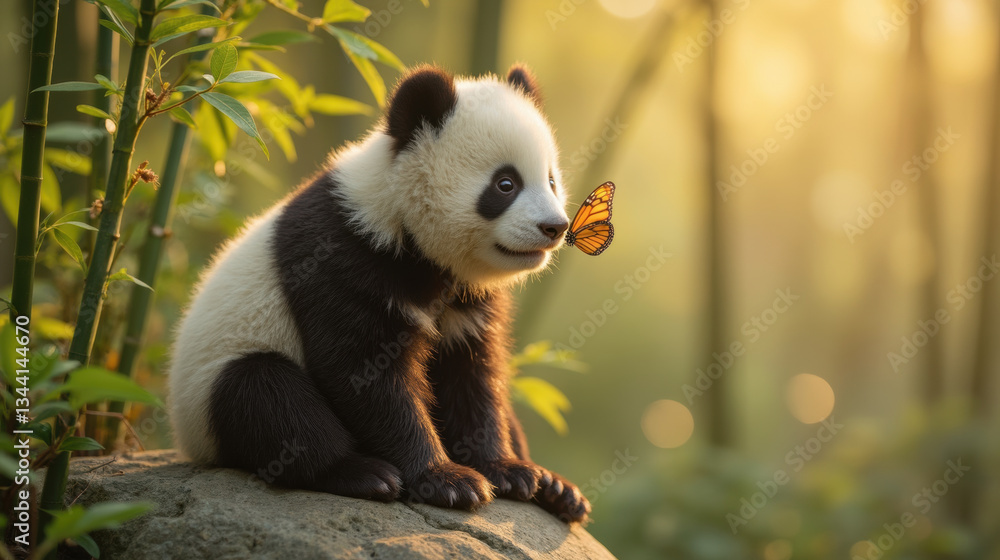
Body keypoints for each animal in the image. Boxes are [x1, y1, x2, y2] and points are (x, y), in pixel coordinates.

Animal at [168, 64, 591, 523]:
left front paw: (506, 470)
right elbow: (363, 371)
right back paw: (362, 473)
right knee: (266, 397)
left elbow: (473, 376)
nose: (554, 227)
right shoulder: (340, 257)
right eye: (506, 184)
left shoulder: (466, 297)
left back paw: (557, 489)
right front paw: (449, 481)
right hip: (213, 389)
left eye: (551, 180)